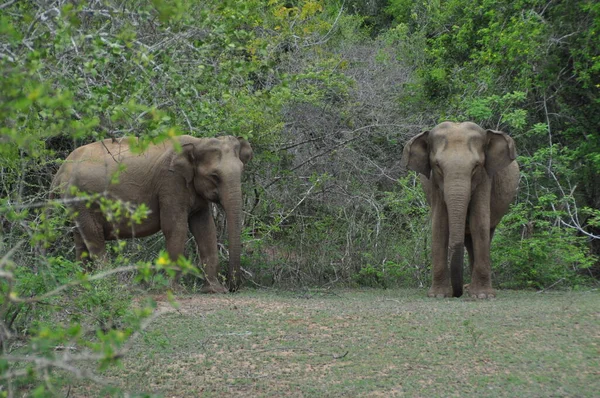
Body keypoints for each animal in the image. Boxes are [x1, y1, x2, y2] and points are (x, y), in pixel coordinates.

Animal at [48, 134, 251, 292]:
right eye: (214, 176)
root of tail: (61, 170)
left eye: (242, 171)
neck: (198, 142)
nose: (232, 287)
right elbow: (175, 227)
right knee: (94, 237)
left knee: (80, 240)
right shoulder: (171, 182)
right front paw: (174, 290)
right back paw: (111, 285)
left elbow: (205, 229)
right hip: (82, 199)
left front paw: (214, 290)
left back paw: (83, 285)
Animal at [400, 121, 516, 298]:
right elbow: (440, 225)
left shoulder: (485, 178)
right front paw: (438, 295)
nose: (457, 293)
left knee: (485, 233)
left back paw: (472, 289)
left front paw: (483, 296)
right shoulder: (435, 183)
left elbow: (479, 223)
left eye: (476, 166)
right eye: (437, 165)